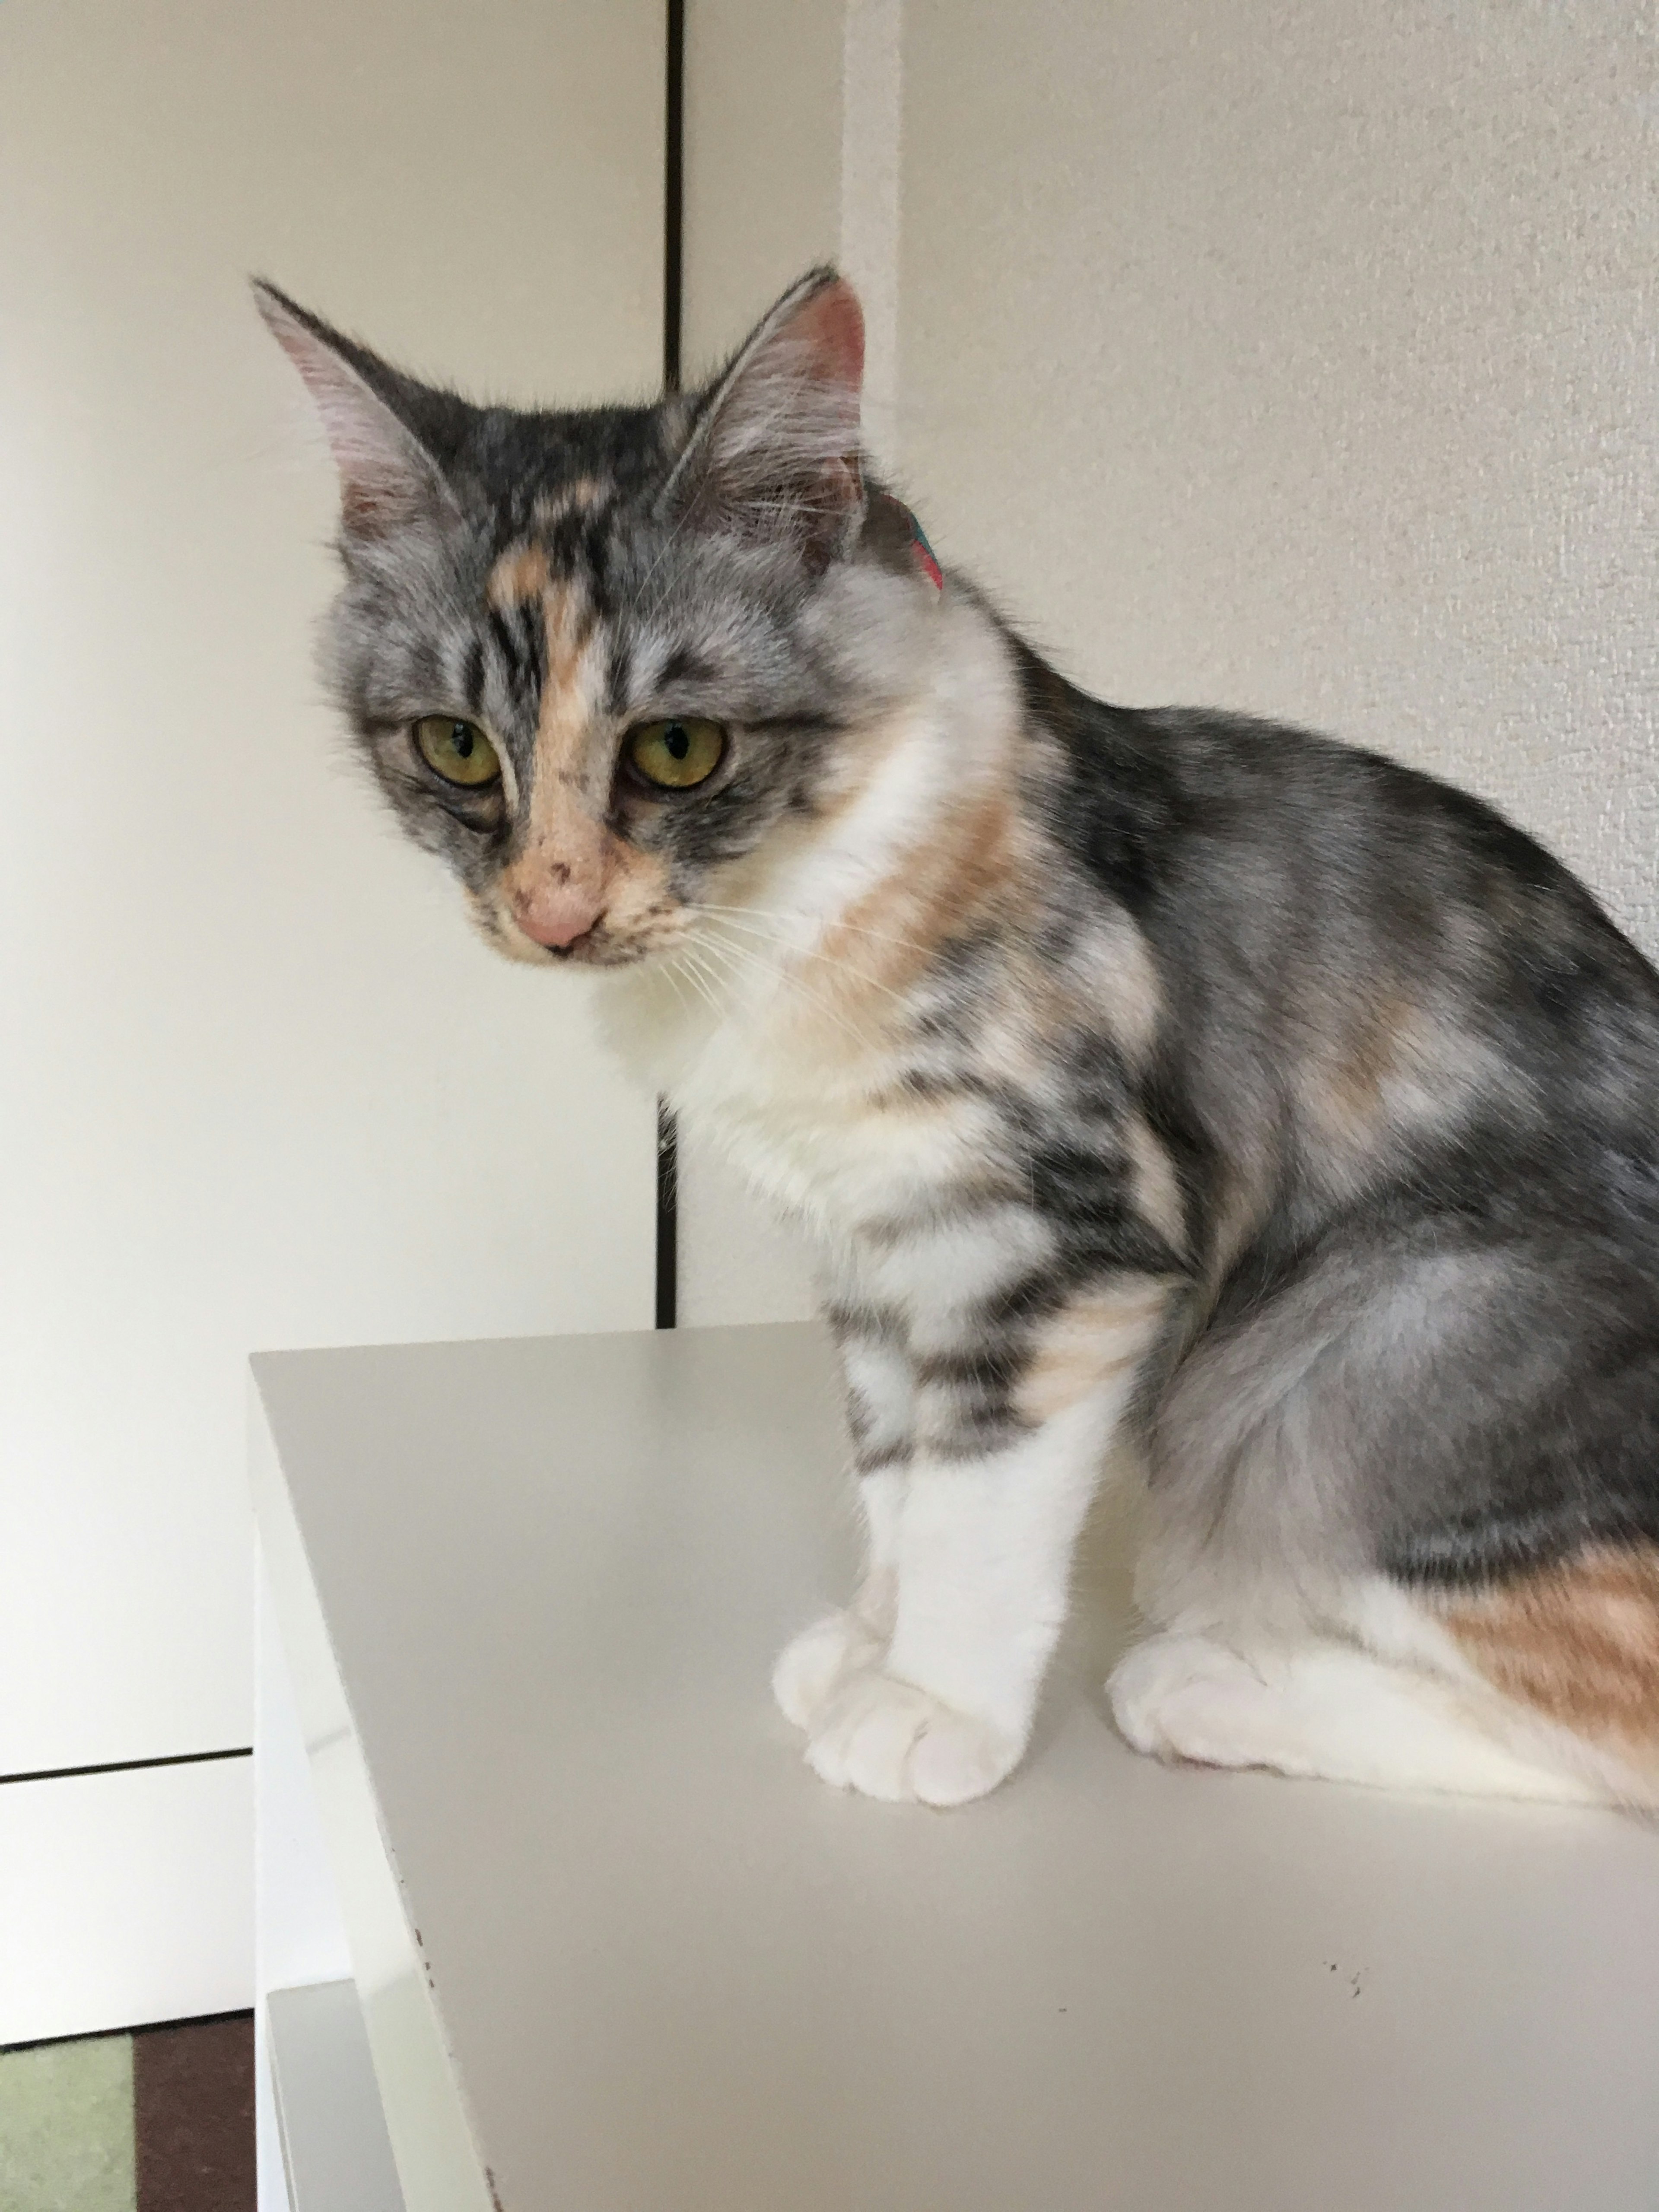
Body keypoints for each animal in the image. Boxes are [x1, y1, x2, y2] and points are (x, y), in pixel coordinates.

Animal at [260, 263, 1659, 1814]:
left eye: (678, 750)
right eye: (454, 747)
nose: (553, 911)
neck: (782, 925)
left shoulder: (1052, 1241)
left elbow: (974, 1508)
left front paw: (931, 1707)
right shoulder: (875, 1248)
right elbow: (898, 1477)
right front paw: (870, 1643)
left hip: (1366, 1353)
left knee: (1613, 1724)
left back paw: (1209, 1680)